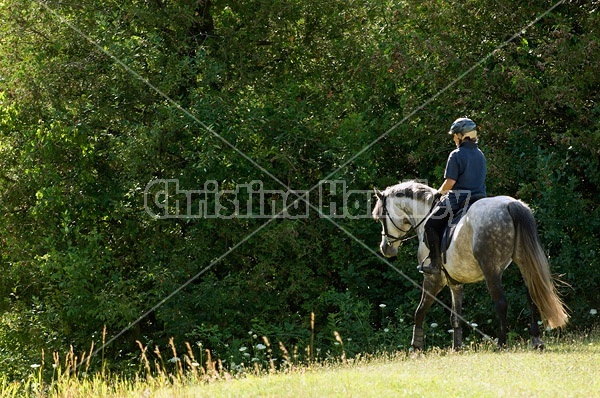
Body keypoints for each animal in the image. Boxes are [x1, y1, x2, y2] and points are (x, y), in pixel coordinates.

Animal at [372, 182, 568, 350]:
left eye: (381, 217)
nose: (385, 248)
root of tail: (510, 205)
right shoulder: (455, 283)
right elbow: (455, 317)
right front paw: (456, 347)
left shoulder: (433, 279)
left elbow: (419, 311)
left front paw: (415, 347)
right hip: (523, 262)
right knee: (532, 296)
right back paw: (536, 340)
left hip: (491, 270)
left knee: (501, 303)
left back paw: (501, 344)